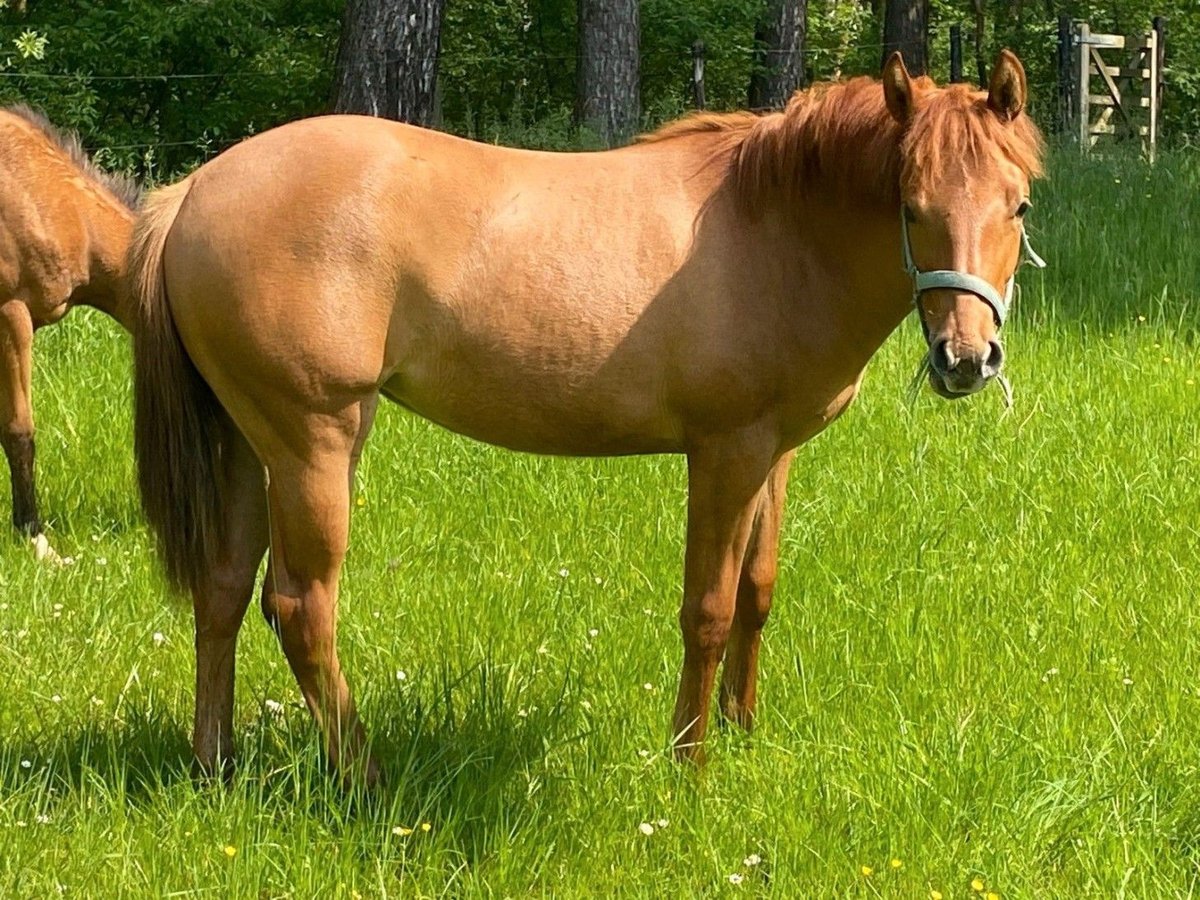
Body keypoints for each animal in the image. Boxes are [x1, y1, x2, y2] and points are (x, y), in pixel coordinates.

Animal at [131, 52, 1046, 782]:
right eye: (910, 203)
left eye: (1019, 205)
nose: (967, 359)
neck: (775, 229)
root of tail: (194, 192)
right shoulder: (726, 452)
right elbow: (707, 610)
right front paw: (691, 766)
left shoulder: (774, 452)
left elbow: (757, 592)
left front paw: (745, 734)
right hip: (315, 443)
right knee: (299, 606)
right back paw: (364, 775)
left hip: (248, 445)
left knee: (222, 587)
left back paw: (213, 766)